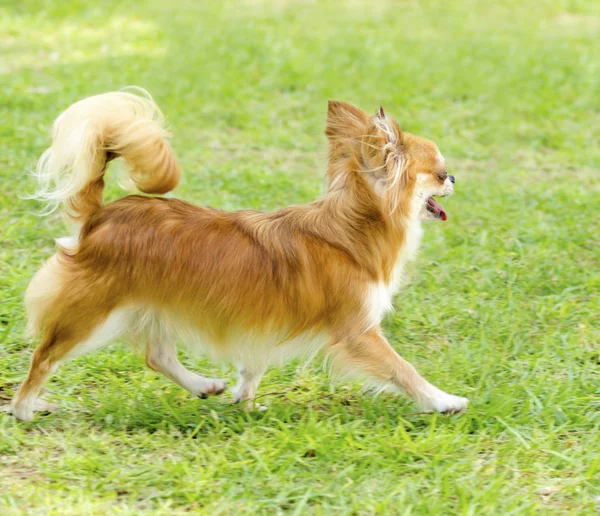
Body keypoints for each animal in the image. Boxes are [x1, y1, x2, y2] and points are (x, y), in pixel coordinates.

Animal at [8, 90, 468, 422]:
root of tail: (101, 215)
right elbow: (402, 369)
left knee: (157, 357)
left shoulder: (264, 326)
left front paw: (244, 402)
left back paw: (202, 386)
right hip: (92, 312)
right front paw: (443, 401)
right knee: (44, 355)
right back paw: (25, 408)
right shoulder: (357, 331)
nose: (454, 178)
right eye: (438, 171)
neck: (352, 230)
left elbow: (252, 366)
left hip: (153, 305)